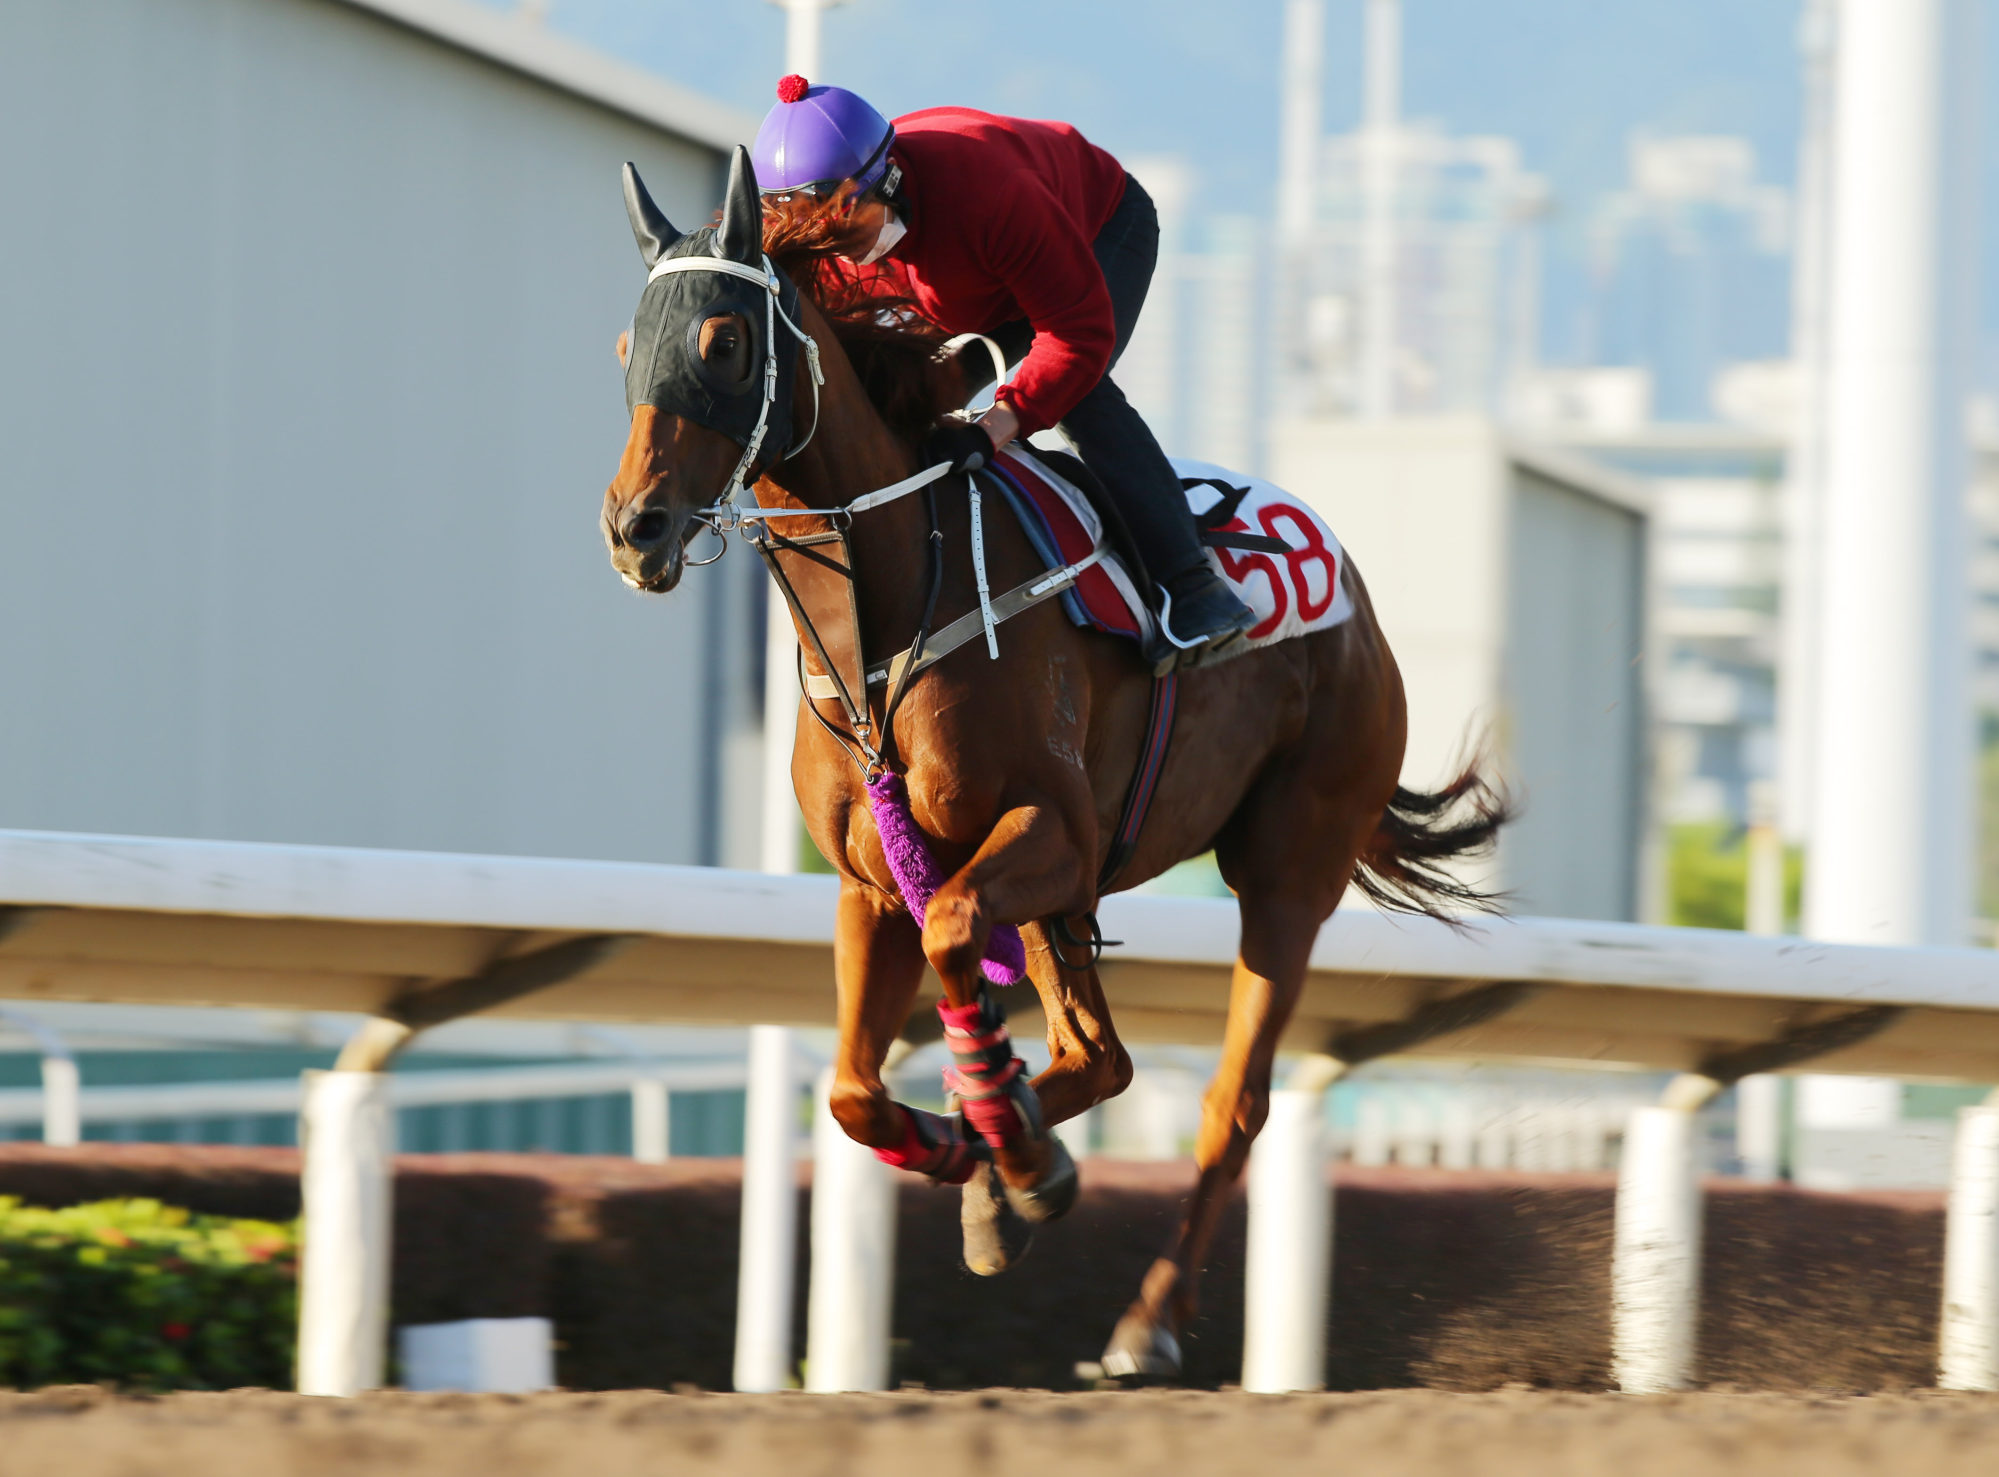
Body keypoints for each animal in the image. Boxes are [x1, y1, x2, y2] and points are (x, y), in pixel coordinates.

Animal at [599, 144, 1503, 1383]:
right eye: (624, 348)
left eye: (724, 342)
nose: (633, 527)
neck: (890, 609)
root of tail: (1355, 599)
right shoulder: (871, 881)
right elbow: (849, 1092)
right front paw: (984, 1159)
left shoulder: (1049, 833)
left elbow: (948, 942)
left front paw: (1014, 1159)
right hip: (1075, 895)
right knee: (1100, 1054)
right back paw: (1006, 1162)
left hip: (1286, 871)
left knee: (1231, 1100)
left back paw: (1143, 1319)